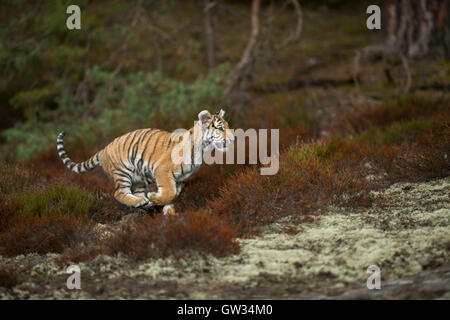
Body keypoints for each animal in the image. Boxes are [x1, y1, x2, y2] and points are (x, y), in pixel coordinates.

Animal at [57, 109, 236, 216]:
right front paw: (156, 198)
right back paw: (143, 201)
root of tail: (103, 149)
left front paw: (168, 210)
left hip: (138, 180)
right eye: (220, 128)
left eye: (227, 126)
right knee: (118, 193)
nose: (233, 139)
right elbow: (169, 191)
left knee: (134, 193)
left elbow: (173, 194)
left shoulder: (181, 179)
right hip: (122, 173)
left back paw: (145, 203)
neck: (202, 148)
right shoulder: (163, 171)